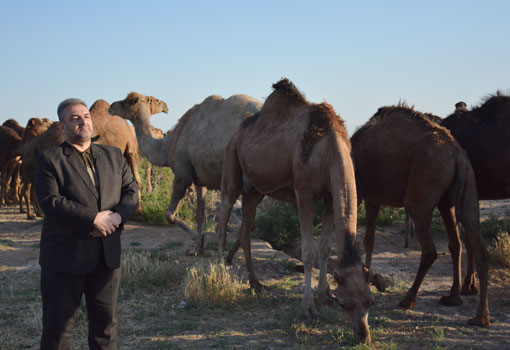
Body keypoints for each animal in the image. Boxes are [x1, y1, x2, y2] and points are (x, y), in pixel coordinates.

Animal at [109, 90, 262, 254]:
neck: (168, 145)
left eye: (129, 101)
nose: (111, 107)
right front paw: (196, 249)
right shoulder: (201, 180)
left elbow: (170, 215)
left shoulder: (182, 176)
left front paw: (201, 241)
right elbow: (200, 215)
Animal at [217, 79, 372, 344]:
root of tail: (237, 133)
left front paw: (325, 295)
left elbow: (325, 248)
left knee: (246, 229)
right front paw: (308, 308)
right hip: (231, 162)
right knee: (224, 213)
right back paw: (219, 273)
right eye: (346, 305)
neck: (329, 149)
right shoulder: (305, 193)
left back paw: (256, 283)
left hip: (255, 191)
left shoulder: (330, 196)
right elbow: (308, 252)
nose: (363, 336)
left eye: (370, 302)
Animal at [350, 103, 490, 326]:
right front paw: (369, 278)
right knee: (469, 243)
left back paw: (408, 299)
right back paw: (474, 312)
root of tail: (456, 154)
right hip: (463, 188)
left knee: (430, 249)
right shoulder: (373, 197)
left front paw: (368, 279)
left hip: (422, 188)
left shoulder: (362, 190)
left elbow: (361, 236)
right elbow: (369, 239)